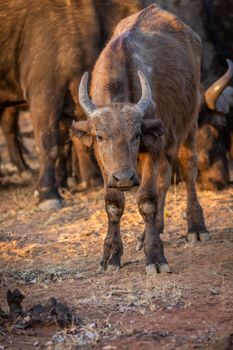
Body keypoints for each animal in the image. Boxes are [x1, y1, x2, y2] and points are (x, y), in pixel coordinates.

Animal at [72, 4, 209, 274]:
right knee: (165, 179)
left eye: (136, 135)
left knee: (188, 169)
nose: (125, 178)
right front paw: (111, 255)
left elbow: (146, 199)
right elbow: (114, 203)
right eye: (100, 136)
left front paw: (155, 256)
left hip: (189, 122)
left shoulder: (152, 147)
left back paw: (196, 227)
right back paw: (149, 233)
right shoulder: (105, 163)